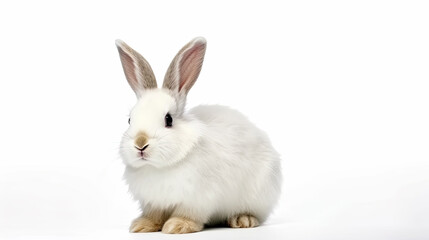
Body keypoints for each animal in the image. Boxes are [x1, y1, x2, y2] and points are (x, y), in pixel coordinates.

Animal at [115, 37, 280, 234]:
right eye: (130, 120)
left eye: (168, 119)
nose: (140, 143)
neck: (158, 167)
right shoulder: (152, 202)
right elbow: (154, 215)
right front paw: (142, 225)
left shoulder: (198, 199)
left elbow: (188, 214)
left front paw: (177, 225)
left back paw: (243, 219)